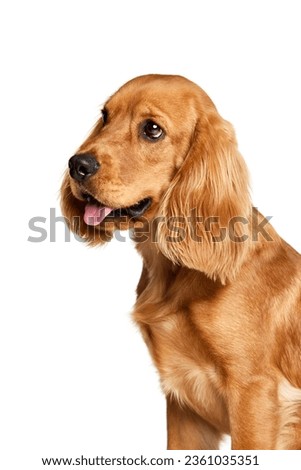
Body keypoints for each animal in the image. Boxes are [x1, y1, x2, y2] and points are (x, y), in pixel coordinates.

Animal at [60, 75, 300, 450]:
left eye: (152, 129)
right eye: (104, 116)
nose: (77, 165)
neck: (176, 273)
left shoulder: (255, 395)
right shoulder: (183, 404)